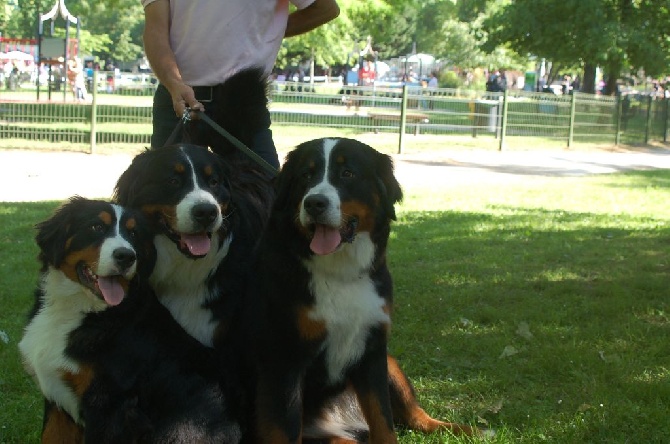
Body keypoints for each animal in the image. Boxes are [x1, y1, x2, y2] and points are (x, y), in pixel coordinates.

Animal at [16, 199, 244, 444]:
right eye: (96, 227)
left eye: (134, 233)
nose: (126, 256)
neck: (79, 309)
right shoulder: (57, 401)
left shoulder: (108, 405)